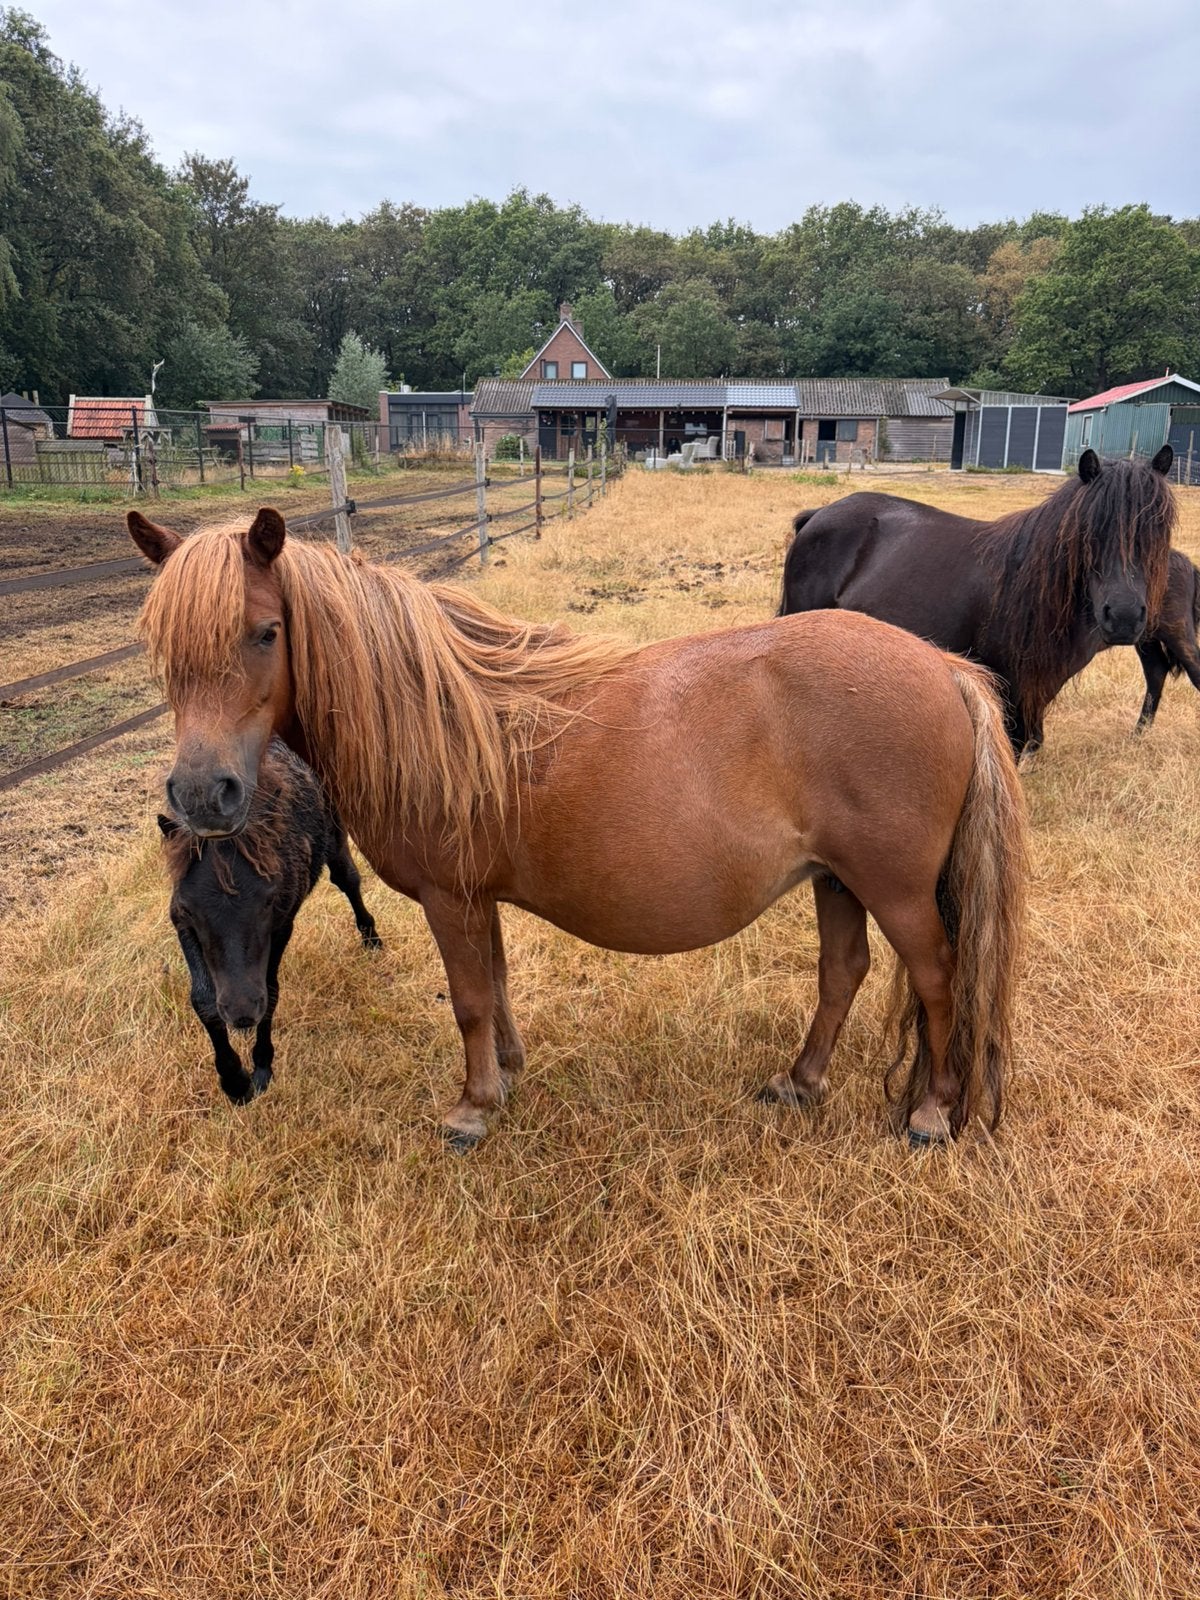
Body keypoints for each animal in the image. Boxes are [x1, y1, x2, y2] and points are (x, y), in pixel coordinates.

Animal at [159, 737, 381, 1105]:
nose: (241, 1012)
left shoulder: (281, 922)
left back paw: (371, 937)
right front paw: (234, 1080)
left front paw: (261, 1067)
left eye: (268, 900)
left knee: (347, 878)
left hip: (335, 837)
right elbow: (203, 1000)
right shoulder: (182, 924)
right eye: (190, 909)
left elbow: (271, 991)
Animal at [778, 447, 1177, 754]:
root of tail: (818, 515)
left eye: (1158, 528)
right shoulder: (1008, 691)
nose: (1124, 617)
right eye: (1089, 530)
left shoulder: (1037, 694)